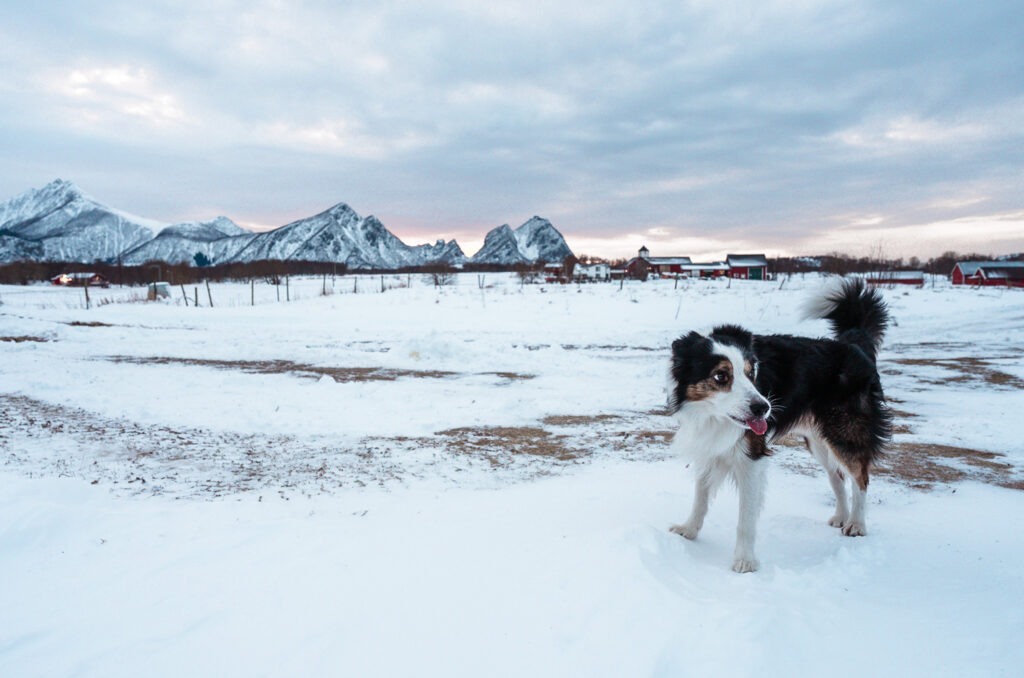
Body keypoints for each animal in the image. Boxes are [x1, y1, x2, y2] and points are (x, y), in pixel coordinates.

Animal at [667, 278, 892, 573]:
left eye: (751, 373)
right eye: (720, 376)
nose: (763, 408)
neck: (714, 415)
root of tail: (853, 345)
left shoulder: (752, 456)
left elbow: (745, 518)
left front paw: (745, 561)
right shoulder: (709, 444)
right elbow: (700, 497)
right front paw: (689, 531)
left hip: (845, 432)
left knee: (860, 477)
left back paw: (857, 524)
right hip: (819, 441)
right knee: (837, 477)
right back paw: (841, 517)